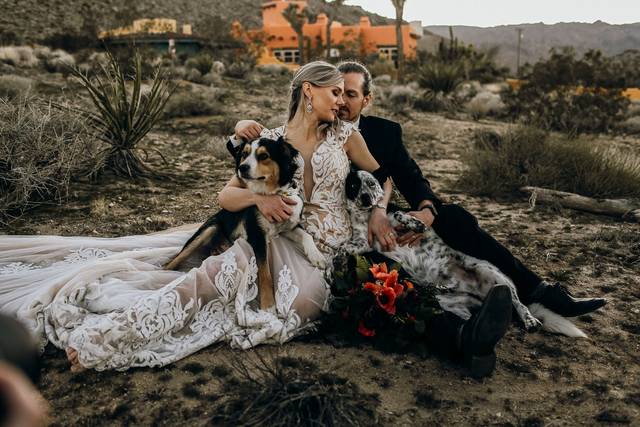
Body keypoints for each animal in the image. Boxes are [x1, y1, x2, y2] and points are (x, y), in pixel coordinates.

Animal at [342, 171, 588, 338]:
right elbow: (346, 246)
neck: (367, 216)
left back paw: (530, 321)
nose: (365, 198)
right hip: (451, 304)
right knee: (469, 321)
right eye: (353, 185)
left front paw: (417, 223)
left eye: (371, 183)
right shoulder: (363, 242)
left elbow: (404, 216)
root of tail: (482, 295)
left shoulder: (394, 222)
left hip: (495, 275)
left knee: (520, 304)